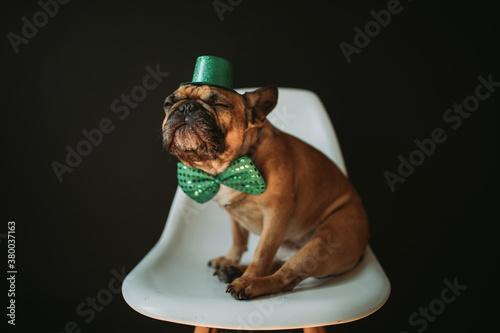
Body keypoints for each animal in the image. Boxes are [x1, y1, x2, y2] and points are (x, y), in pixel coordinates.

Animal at [162, 84, 370, 300]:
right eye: (168, 104)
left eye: (219, 104)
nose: (186, 107)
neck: (225, 168)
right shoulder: (234, 215)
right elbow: (238, 239)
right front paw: (229, 259)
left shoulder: (275, 216)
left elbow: (261, 253)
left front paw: (248, 277)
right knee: (277, 264)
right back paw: (233, 270)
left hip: (323, 242)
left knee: (285, 276)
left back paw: (249, 282)